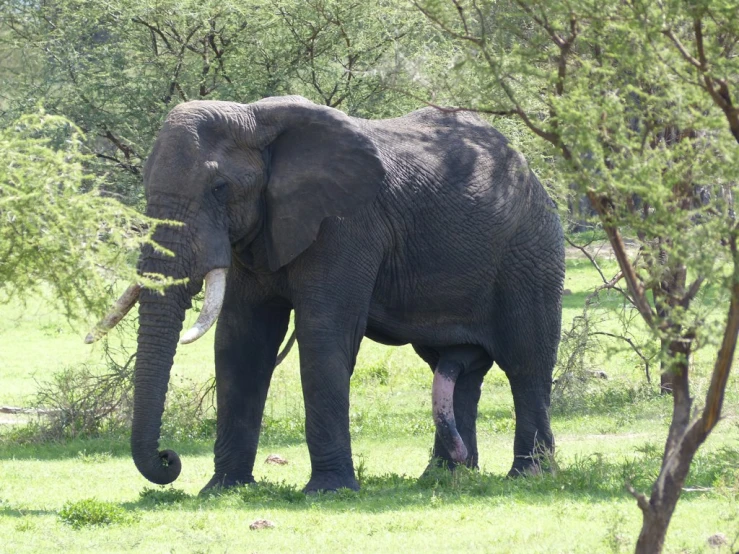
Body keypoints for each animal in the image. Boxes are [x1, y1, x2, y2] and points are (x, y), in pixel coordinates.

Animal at [86, 95, 564, 492]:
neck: (256, 120)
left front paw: (329, 491)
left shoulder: (346, 225)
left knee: (526, 362)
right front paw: (223, 489)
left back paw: (530, 475)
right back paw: (445, 476)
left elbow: (323, 335)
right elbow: (241, 342)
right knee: (455, 367)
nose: (169, 458)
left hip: (531, 252)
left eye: (219, 189)